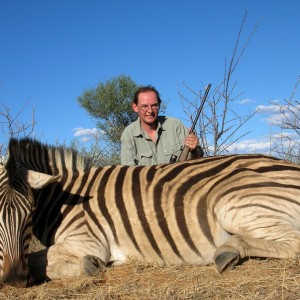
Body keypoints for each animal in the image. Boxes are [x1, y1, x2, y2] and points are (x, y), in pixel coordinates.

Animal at [0, 137, 300, 284]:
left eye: (29, 214)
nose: (14, 280)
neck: (62, 198)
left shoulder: (87, 241)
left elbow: (41, 260)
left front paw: (88, 267)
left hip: (232, 203)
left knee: (292, 243)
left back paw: (228, 251)